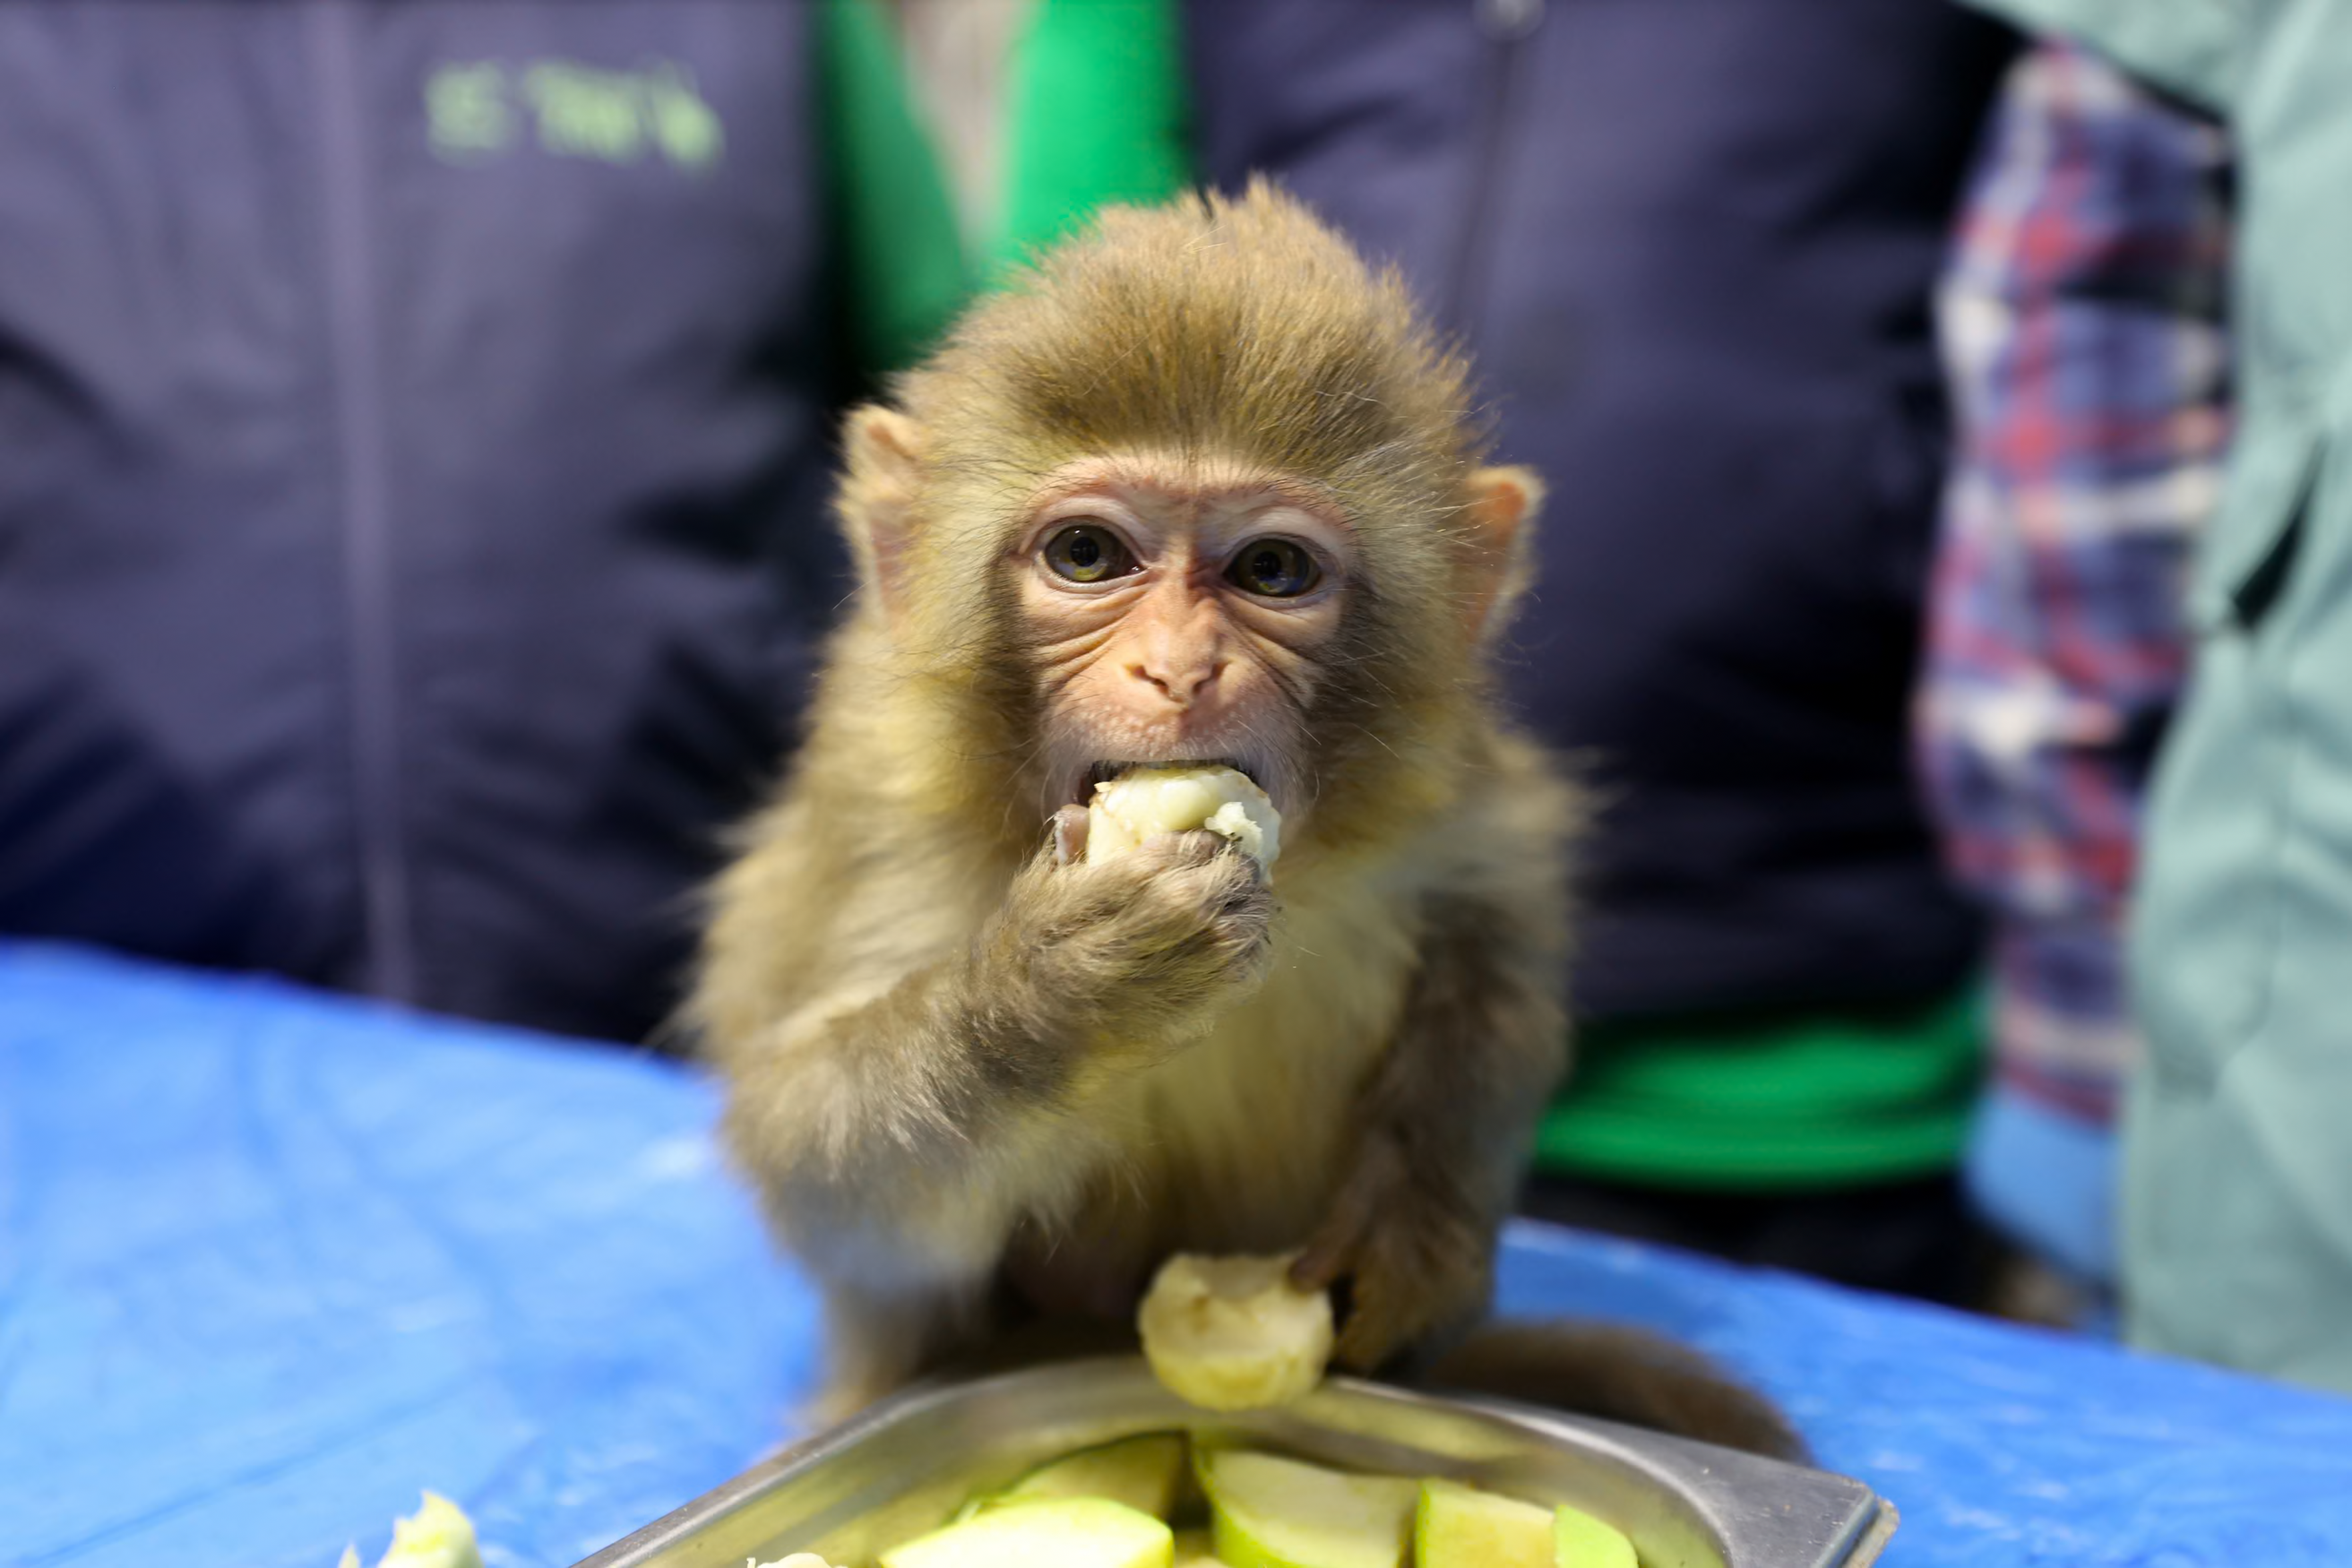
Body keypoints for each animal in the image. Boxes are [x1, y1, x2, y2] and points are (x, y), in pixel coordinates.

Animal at [689, 181, 1801, 1462]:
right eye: (1086, 554)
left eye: (1271, 570)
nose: (1180, 669)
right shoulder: (882, 807)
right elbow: (820, 1172)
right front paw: (1059, 991)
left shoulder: (1448, 779)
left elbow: (1497, 921)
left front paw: (1421, 1222)